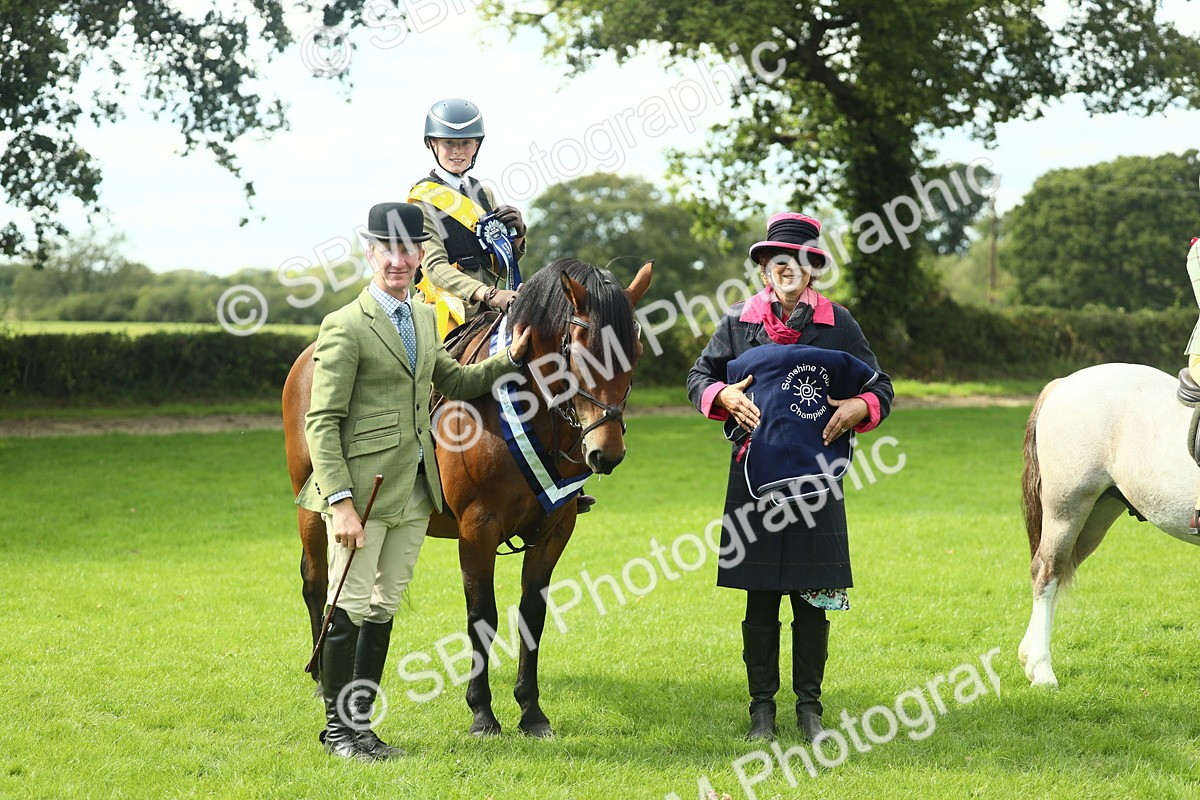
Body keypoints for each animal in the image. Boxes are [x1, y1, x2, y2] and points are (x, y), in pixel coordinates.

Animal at [283, 257, 653, 736]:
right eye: (581, 351)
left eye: (636, 353)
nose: (606, 453)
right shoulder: (478, 529)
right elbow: (482, 617)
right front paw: (482, 712)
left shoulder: (555, 529)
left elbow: (532, 614)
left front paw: (531, 711)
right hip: (317, 509)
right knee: (317, 581)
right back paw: (321, 679)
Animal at [1018, 362, 1200, 688]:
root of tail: (1062, 384)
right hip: (1067, 509)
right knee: (1047, 572)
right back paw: (1041, 669)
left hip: (1095, 517)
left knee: (1060, 573)